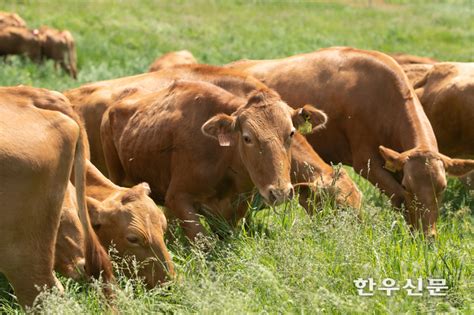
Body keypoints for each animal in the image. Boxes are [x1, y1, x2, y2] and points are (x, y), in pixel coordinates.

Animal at [101, 80, 326, 241]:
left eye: (291, 133)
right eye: (247, 138)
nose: (279, 193)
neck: (222, 158)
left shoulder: (236, 207)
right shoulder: (177, 198)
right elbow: (203, 240)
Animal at [226, 45, 474, 236]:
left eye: (442, 188)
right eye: (408, 185)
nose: (428, 236)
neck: (381, 96)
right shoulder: (367, 164)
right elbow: (400, 198)